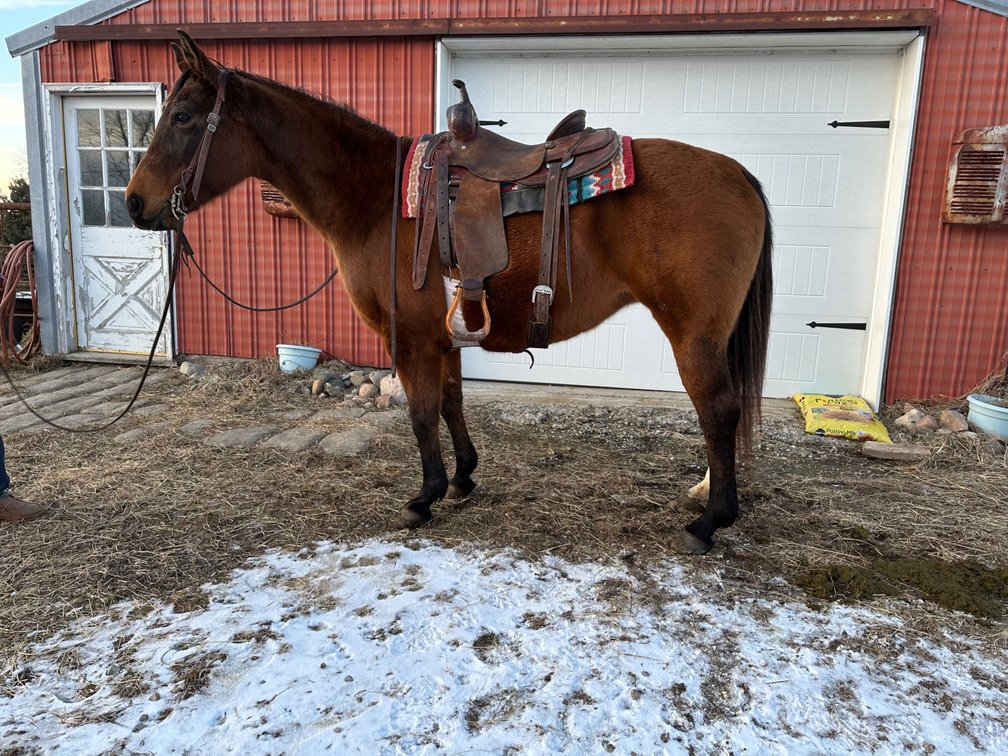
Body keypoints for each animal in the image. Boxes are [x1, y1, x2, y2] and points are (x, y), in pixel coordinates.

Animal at [126, 31, 773, 555]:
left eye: (182, 117)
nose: (134, 204)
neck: (376, 198)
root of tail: (739, 173)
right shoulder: (449, 333)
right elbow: (454, 402)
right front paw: (462, 479)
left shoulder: (409, 339)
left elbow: (420, 412)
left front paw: (424, 497)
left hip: (693, 335)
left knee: (718, 409)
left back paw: (710, 521)